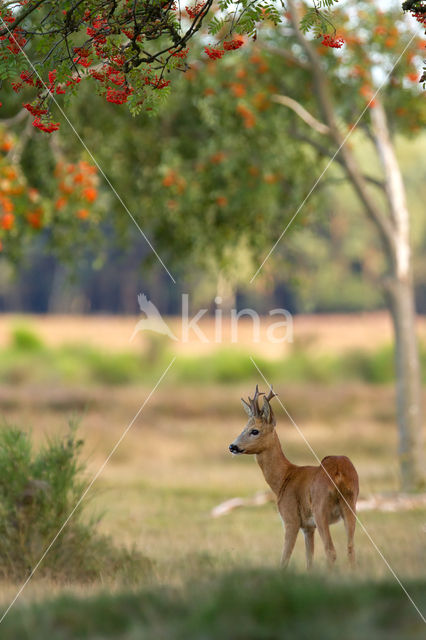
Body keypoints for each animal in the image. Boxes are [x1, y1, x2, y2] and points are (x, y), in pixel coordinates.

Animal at [228, 384, 358, 568]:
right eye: (243, 428)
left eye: (255, 431)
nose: (232, 446)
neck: (284, 477)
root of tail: (339, 471)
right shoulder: (308, 527)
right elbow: (309, 560)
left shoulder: (291, 519)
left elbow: (284, 559)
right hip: (350, 506)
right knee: (351, 549)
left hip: (320, 509)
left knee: (331, 551)